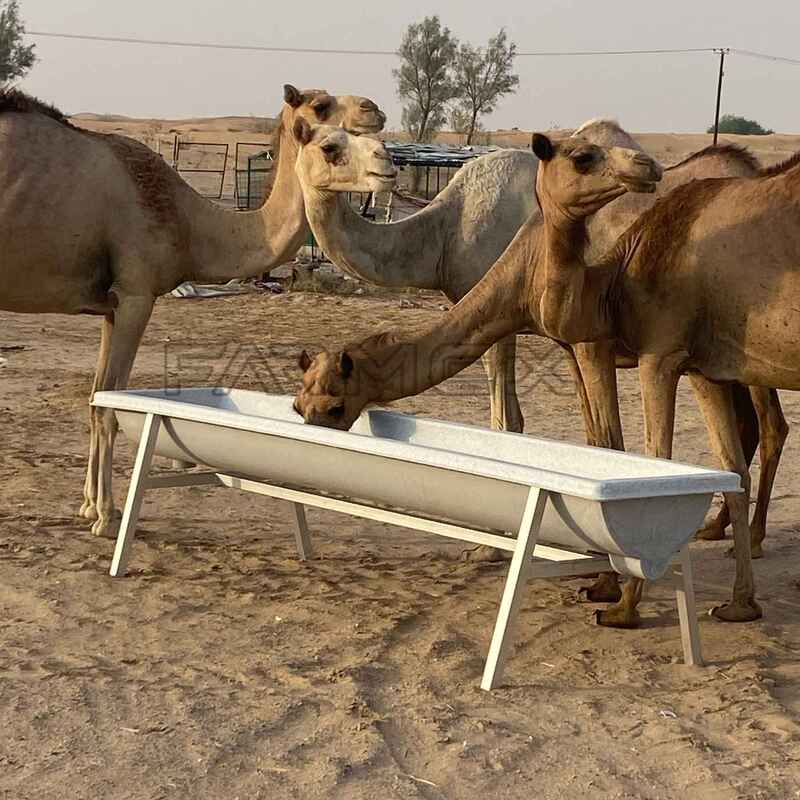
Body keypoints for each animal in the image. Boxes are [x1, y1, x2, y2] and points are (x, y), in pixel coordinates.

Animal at [0, 85, 385, 537]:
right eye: (322, 109)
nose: (374, 110)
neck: (188, 224)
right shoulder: (136, 294)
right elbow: (110, 406)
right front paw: (108, 517)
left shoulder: (111, 305)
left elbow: (95, 399)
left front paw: (88, 506)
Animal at [292, 121, 787, 570]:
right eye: (330, 142)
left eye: (333, 406)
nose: (385, 164)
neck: (445, 233)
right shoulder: (560, 338)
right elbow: (584, 438)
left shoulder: (523, 324)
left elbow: (512, 424)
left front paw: (489, 548)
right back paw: (719, 528)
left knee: (770, 424)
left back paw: (753, 540)